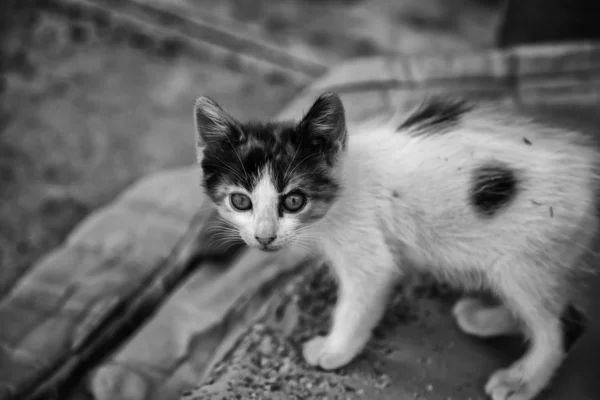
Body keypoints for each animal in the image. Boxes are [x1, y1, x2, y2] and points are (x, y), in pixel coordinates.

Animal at [192, 91, 600, 400]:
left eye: (294, 200)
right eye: (240, 201)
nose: (264, 237)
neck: (344, 182)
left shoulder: (366, 247)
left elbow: (360, 300)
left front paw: (335, 350)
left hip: (526, 255)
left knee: (563, 324)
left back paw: (522, 380)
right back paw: (484, 319)